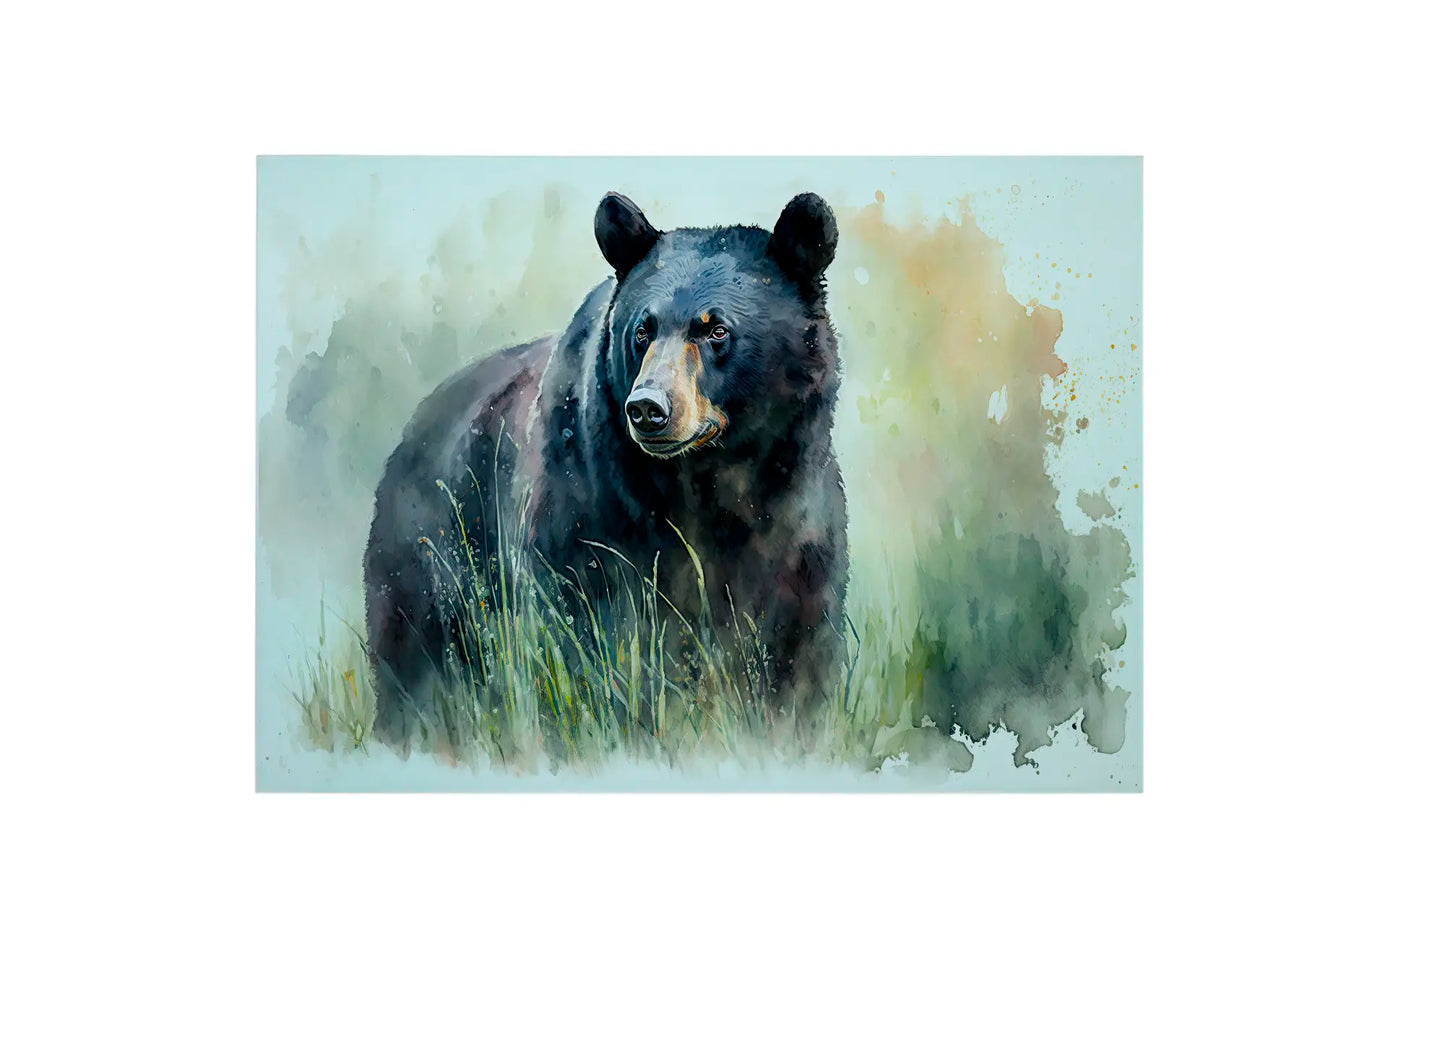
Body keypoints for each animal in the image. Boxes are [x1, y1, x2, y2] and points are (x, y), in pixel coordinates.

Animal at [363, 191, 848, 749]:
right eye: (642, 329)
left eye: (717, 329)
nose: (648, 408)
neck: (708, 480)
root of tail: (414, 426)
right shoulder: (587, 509)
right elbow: (589, 639)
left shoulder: (798, 525)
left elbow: (796, 649)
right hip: (432, 552)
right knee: (412, 661)